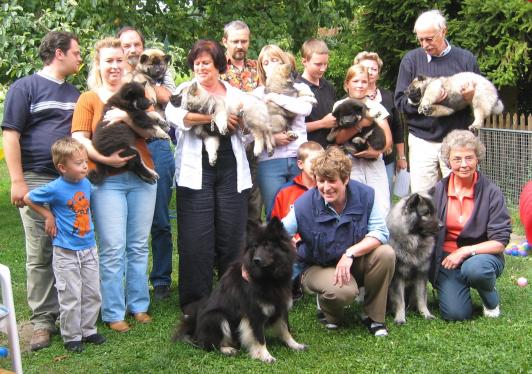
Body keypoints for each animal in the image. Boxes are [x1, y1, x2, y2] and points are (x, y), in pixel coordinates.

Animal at [174, 218, 306, 364]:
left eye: (267, 245)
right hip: (217, 317)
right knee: (209, 345)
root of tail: (195, 330)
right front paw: (265, 356)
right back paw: (228, 349)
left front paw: (295, 345)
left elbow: (286, 329)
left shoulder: (281, 307)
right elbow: (259, 338)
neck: (268, 277)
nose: (256, 260)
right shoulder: (254, 313)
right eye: (255, 246)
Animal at [386, 193, 440, 324]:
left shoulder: (421, 275)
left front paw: (426, 314)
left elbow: (421, 298)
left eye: (434, 212)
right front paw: (400, 317)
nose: (442, 226)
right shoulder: (398, 277)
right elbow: (400, 300)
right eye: (426, 213)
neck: (413, 242)